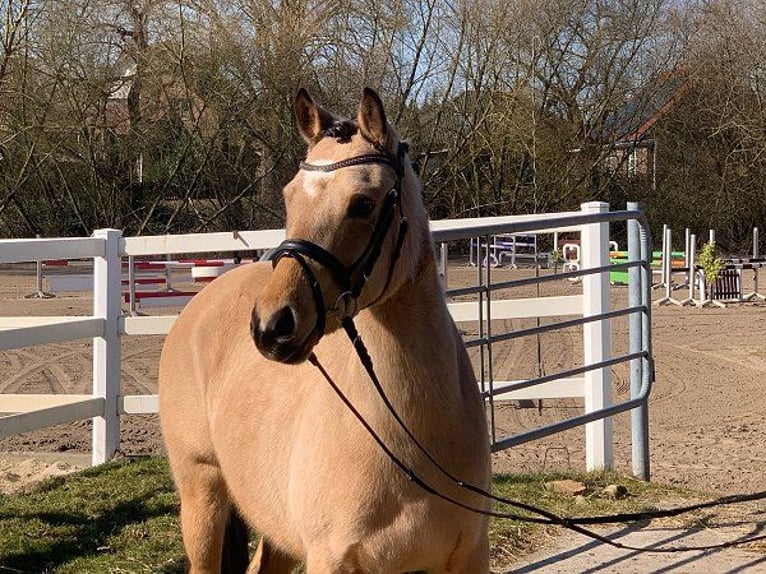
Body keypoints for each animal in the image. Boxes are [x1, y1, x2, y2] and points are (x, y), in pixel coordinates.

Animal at [160, 86, 496, 574]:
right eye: (289, 198)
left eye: (363, 204)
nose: (271, 326)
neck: (410, 437)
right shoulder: (332, 559)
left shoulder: (468, 556)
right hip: (202, 490)